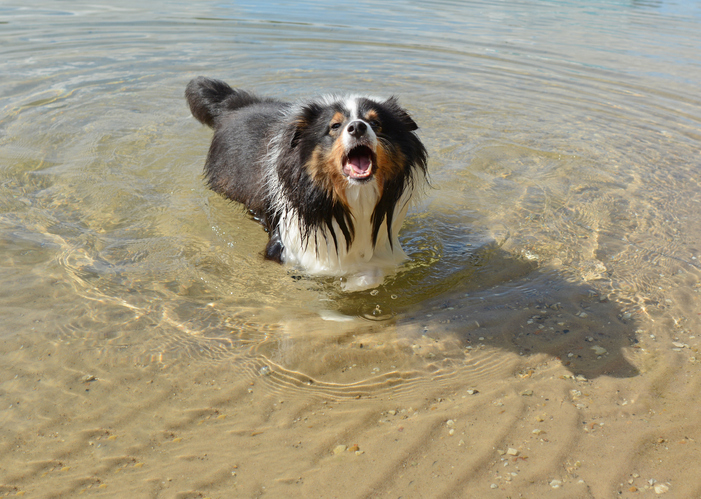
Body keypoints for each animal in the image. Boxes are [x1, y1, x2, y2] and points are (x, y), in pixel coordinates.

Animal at [185, 76, 426, 292]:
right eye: (335, 126)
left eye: (376, 123)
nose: (358, 127)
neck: (355, 197)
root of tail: (233, 103)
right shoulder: (288, 245)